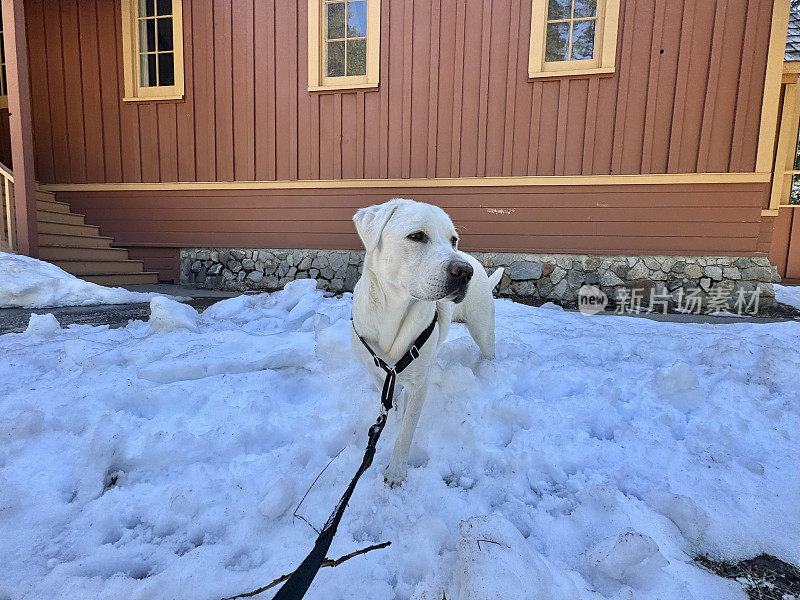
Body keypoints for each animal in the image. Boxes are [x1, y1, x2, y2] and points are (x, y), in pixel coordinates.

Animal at [350, 198, 500, 488]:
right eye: (417, 236)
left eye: (453, 240)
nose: (465, 272)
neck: (392, 312)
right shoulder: (375, 369)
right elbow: (388, 399)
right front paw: (393, 412)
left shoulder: (419, 384)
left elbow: (406, 431)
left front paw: (396, 472)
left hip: (483, 329)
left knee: (489, 352)